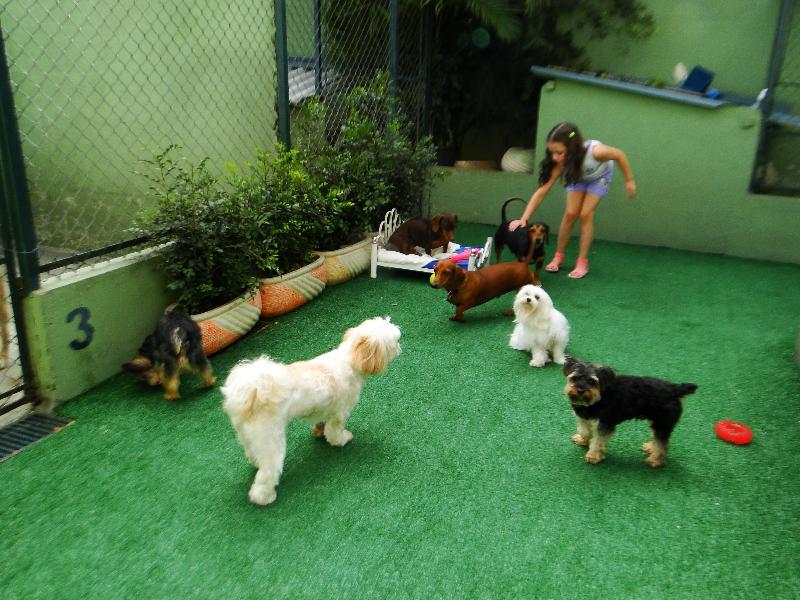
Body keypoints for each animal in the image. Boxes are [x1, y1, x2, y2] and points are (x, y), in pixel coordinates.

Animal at [221, 316, 401, 506]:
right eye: (395, 341)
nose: (400, 345)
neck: (351, 359)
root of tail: (252, 388)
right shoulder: (339, 412)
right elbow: (334, 432)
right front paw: (342, 440)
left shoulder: (324, 409)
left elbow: (321, 422)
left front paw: (319, 432)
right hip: (271, 440)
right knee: (268, 472)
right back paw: (264, 497)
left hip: (245, 434)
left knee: (251, 451)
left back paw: (256, 462)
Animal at [562, 357, 698, 468]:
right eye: (575, 378)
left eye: (592, 381)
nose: (580, 390)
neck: (600, 396)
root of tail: (675, 390)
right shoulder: (584, 418)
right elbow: (584, 431)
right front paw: (583, 440)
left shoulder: (604, 424)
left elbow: (598, 441)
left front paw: (593, 456)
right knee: (659, 439)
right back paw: (650, 447)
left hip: (662, 423)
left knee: (662, 444)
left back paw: (655, 460)